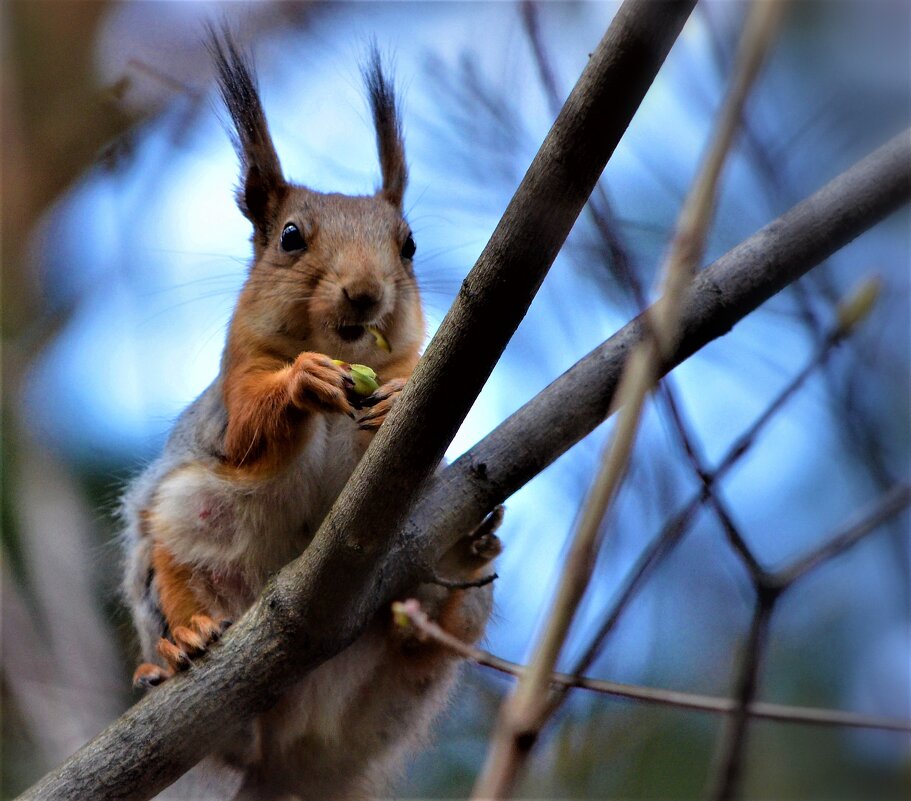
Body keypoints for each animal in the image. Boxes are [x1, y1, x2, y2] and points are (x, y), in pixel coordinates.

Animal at [119, 31, 506, 800]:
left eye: (408, 245)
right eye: (290, 237)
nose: (365, 291)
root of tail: (289, 754)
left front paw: (395, 395)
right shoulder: (232, 393)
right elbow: (251, 428)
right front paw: (304, 380)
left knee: (422, 645)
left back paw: (464, 560)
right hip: (187, 509)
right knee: (174, 556)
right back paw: (181, 643)